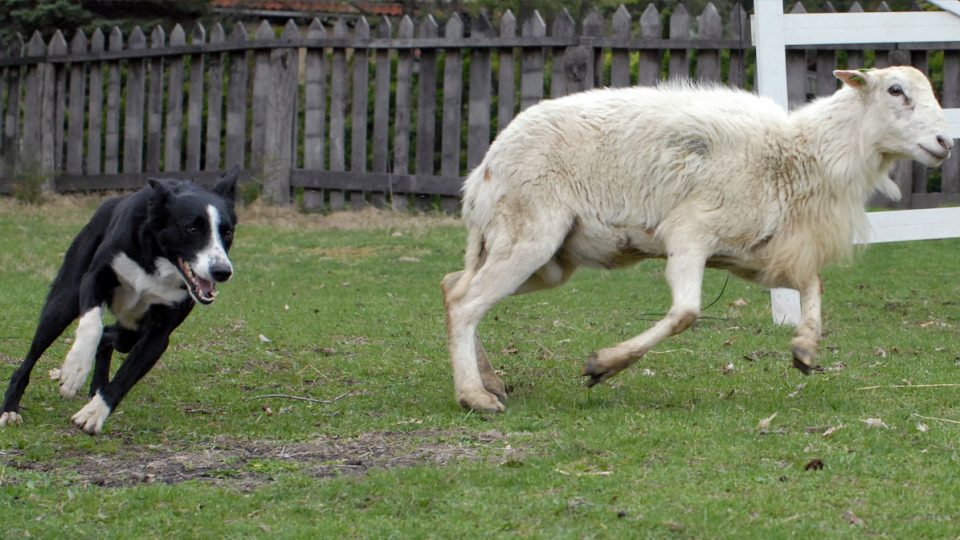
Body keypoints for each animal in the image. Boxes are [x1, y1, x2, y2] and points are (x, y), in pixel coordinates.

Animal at [0, 169, 238, 434]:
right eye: (192, 229)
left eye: (227, 232)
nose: (222, 271)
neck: (156, 258)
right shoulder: (94, 279)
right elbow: (92, 325)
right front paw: (74, 370)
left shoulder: (158, 335)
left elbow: (126, 376)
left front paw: (94, 413)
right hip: (62, 304)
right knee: (31, 358)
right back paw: (10, 409)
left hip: (130, 331)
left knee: (109, 338)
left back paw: (97, 388)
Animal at [440, 67, 952, 414]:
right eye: (896, 91)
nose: (946, 142)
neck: (802, 154)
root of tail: (484, 168)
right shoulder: (690, 233)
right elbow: (686, 313)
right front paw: (604, 365)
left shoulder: (755, 255)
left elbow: (813, 284)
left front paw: (806, 348)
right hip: (530, 235)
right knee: (467, 303)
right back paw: (473, 397)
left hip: (548, 259)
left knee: (453, 287)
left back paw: (489, 380)